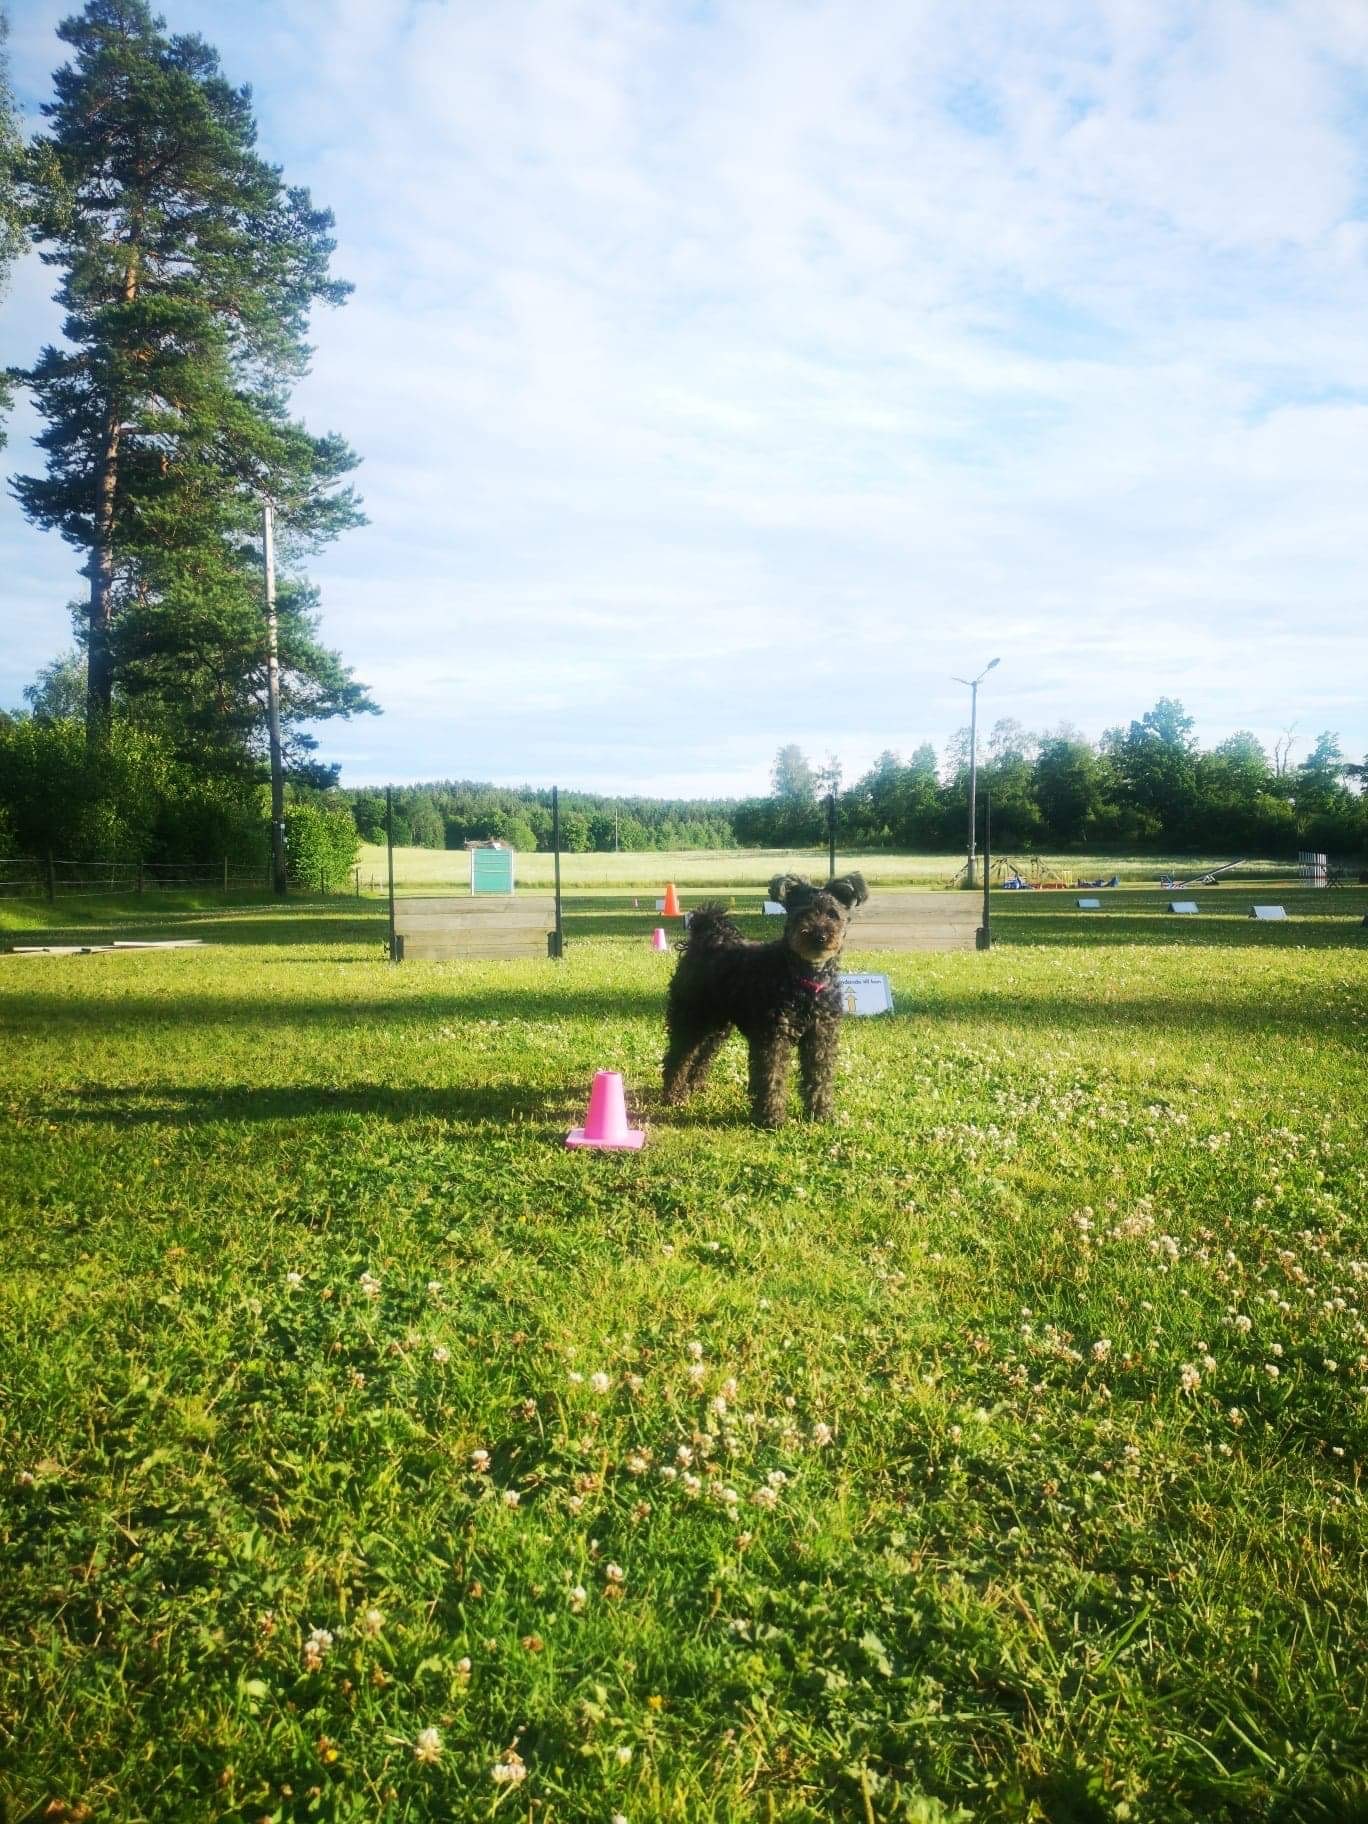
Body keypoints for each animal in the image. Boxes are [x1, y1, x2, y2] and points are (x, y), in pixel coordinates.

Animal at [660, 871, 868, 1123]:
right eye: (802, 913)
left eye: (832, 914)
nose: (819, 935)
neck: (804, 978)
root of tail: (707, 936)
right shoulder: (773, 1037)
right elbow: (772, 1077)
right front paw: (772, 1117)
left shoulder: (821, 1037)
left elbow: (821, 1077)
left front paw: (822, 1114)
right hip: (692, 1018)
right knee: (678, 1057)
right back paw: (673, 1095)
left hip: (717, 1027)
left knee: (702, 1056)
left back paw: (694, 1086)